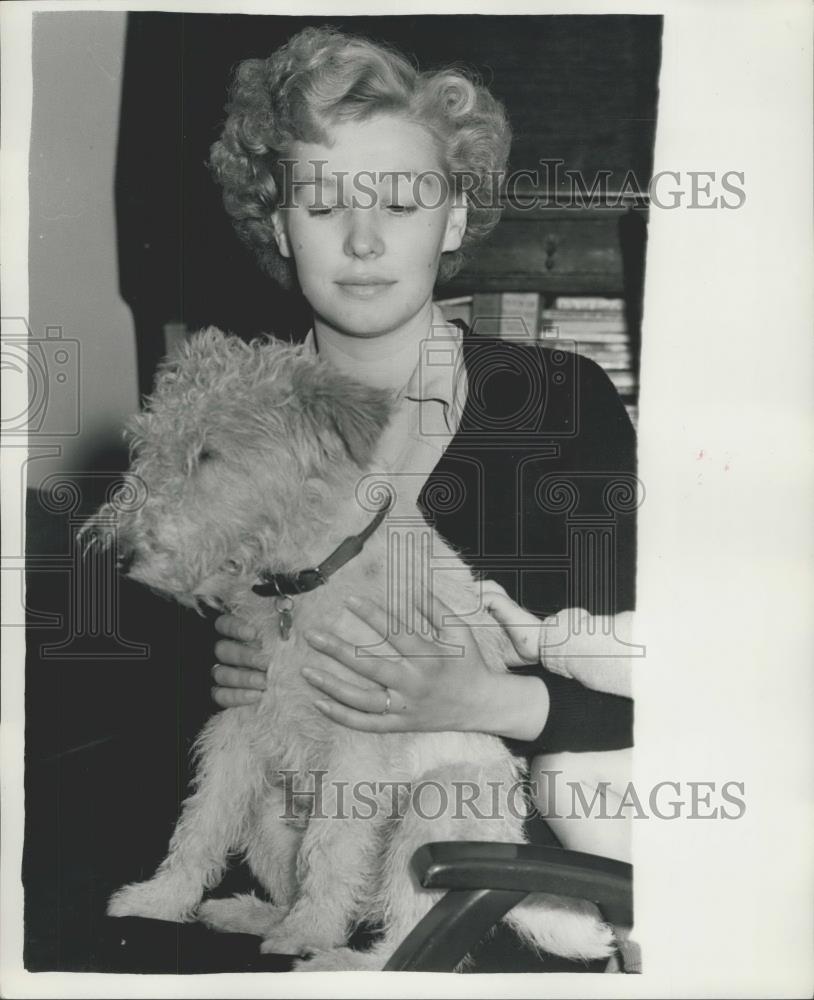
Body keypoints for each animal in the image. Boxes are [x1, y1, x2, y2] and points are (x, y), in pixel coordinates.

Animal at [84, 332, 620, 972]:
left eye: (210, 453)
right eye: (148, 443)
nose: (116, 554)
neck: (297, 584)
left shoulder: (359, 741)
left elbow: (333, 845)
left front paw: (307, 933)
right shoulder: (237, 725)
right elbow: (201, 823)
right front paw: (161, 900)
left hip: (436, 808)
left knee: (398, 930)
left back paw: (333, 957)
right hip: (271, 808)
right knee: (308, 888)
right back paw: (253, 915)